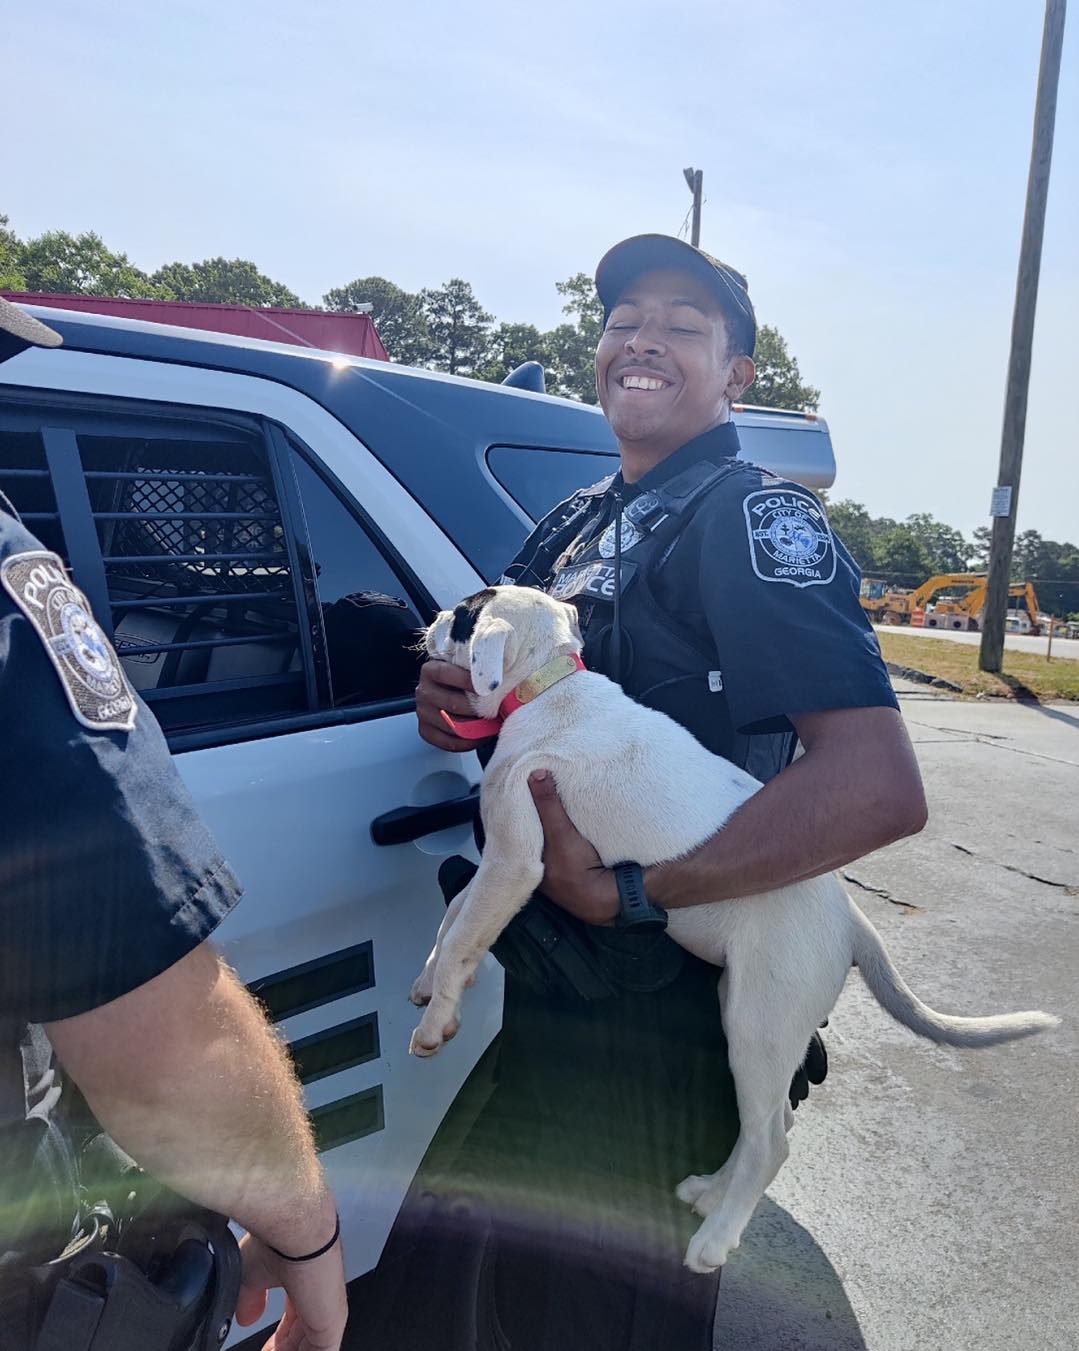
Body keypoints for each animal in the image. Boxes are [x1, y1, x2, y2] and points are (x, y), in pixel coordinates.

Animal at [410, 586, 1058, 1269]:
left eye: (462, 616)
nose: (430, 623)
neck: (548, 686)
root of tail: (852, 920)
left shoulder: (516, 861)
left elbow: (465, 934)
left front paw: (435, 1021)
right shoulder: (499, 865)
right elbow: (454, 919)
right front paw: (428, 983)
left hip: (760, 1025)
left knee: (773, 1141)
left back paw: (715, 1240)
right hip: (743, 1009)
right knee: (764, 1128)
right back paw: (711, 1193)